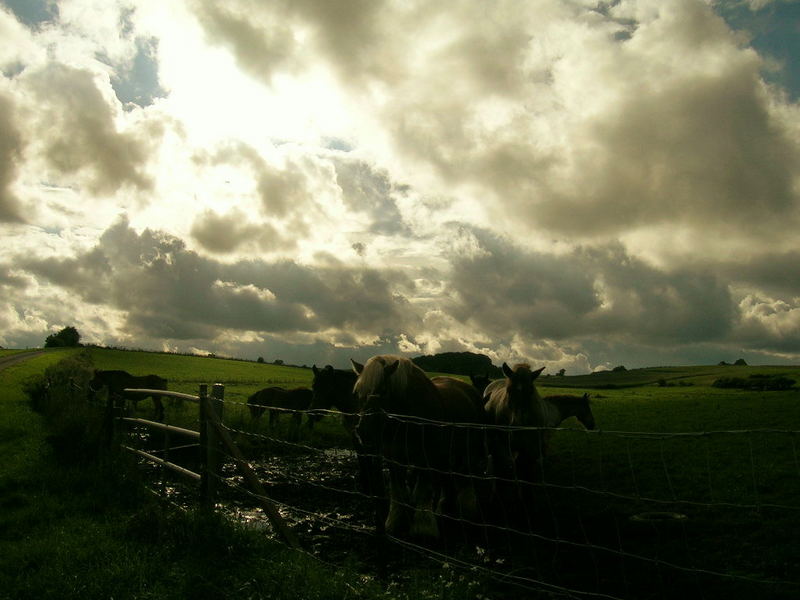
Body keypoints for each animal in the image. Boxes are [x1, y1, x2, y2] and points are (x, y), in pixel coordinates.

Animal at [352, 356, 488, 540]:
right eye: (358, 392)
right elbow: (398, 490)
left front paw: (424, 528)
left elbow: (424, 490)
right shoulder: (394, 458)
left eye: (384, 390)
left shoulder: (426, 457)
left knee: (467, 475)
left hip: (469, 449)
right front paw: (395, 522)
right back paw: (444, 506)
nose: (364, 431)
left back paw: (467, 510)